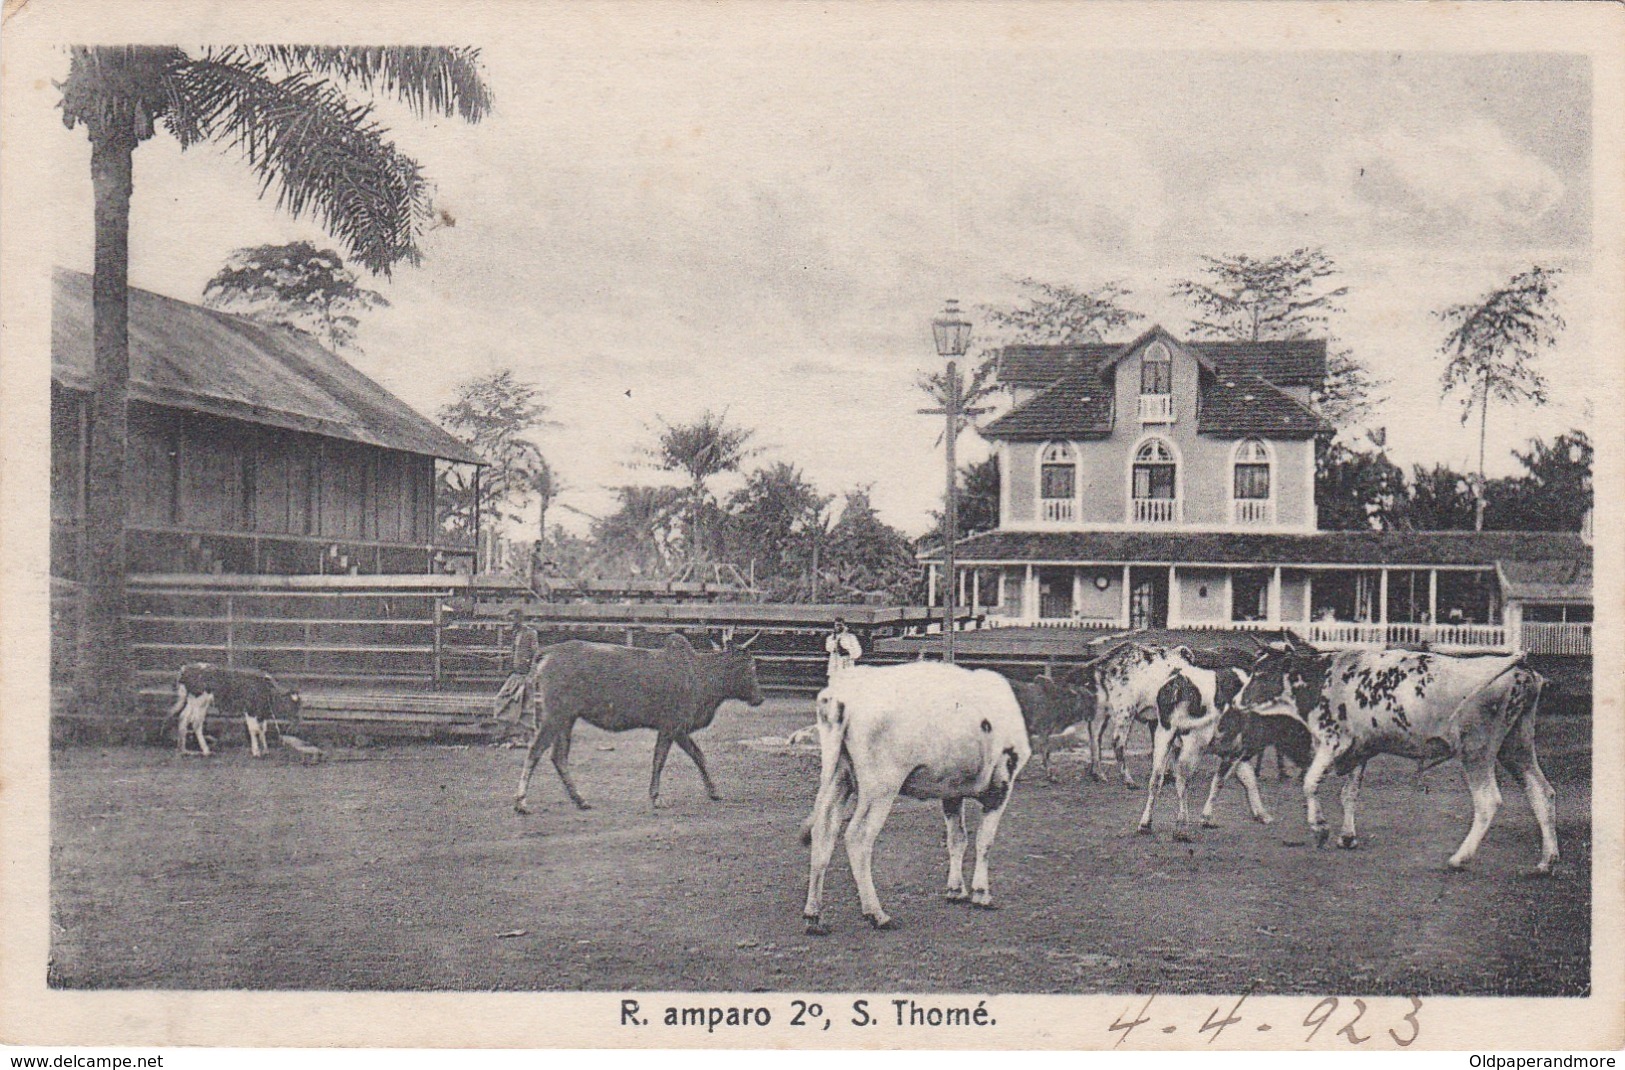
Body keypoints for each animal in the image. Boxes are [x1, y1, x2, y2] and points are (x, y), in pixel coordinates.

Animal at [799, 656, 1027, 936]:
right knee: (857, 837)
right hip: (881, 785)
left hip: (837, 776)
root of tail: (844, 692)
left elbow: (957, 839)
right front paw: (981, 894)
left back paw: (814, 916)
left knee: (824, 831)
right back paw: (877, 914)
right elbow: (984, 841)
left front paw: (956, 890)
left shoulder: (951, 790)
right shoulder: (1001, 785)